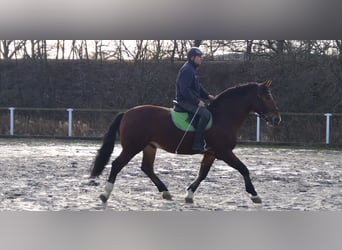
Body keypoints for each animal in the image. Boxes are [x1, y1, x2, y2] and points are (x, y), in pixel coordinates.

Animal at [90, 81, 280, 204]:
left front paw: (189, 195)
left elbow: (203, 174)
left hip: (149, 147)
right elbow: (244, 169)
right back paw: (105, 194)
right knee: (117, 164)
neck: (223, 116)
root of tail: (127, 113)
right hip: (132, 147)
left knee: (147, 168)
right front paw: (254, 195)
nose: (277, 119)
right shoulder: (224, 152)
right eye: (267, 98)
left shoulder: (211, 153)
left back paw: (166, 192)